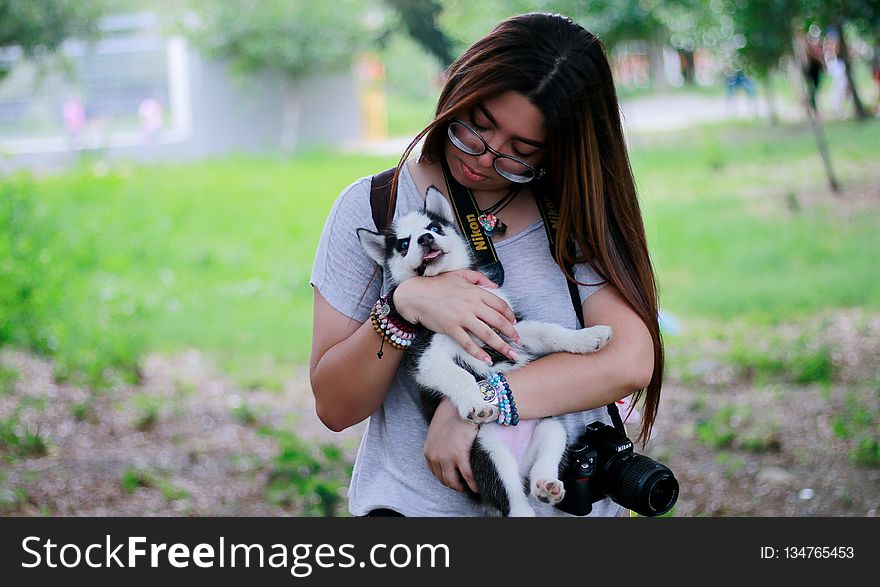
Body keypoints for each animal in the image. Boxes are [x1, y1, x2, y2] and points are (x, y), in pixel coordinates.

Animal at [358, 186, 612, 516]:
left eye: (434, 228)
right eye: (403, 244)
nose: (425, 239)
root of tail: (520, 464)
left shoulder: (509, 327)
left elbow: (549, 331)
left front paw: (587, 337)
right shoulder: (426, 357)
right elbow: (460, 375)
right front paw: (475, 402)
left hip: (550, 428)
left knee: (543, 463)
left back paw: (547, 485)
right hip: (487, 452)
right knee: (514, 502)